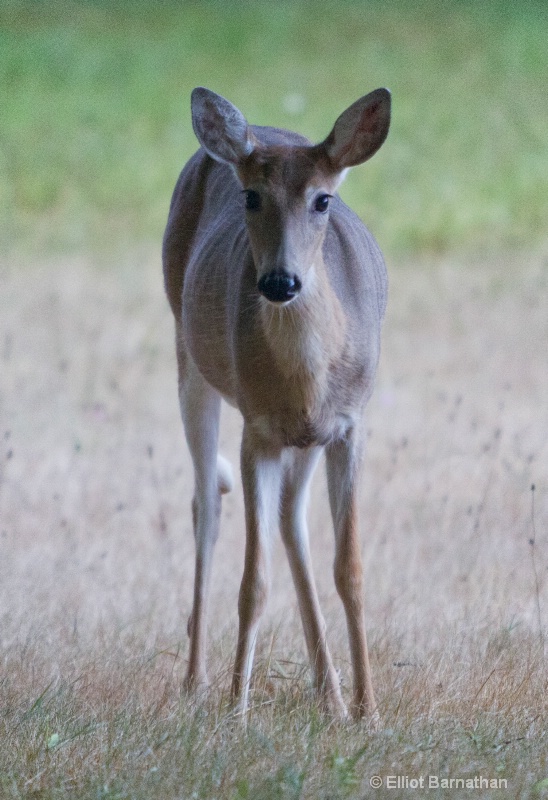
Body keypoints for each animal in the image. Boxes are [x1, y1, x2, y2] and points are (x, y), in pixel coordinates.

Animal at [162, 84, 390, 720]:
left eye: (322, 201)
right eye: (251, 196)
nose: (281, 282)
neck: (307, 378)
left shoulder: (348, 425)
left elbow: (351, 569)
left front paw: (368, 710)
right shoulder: (257, 429)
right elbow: (253, 582)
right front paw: (236, 710)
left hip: (306, 437)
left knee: (291, 517)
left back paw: (329, 694)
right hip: (189, 357)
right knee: (206, 505)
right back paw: (196, 680)